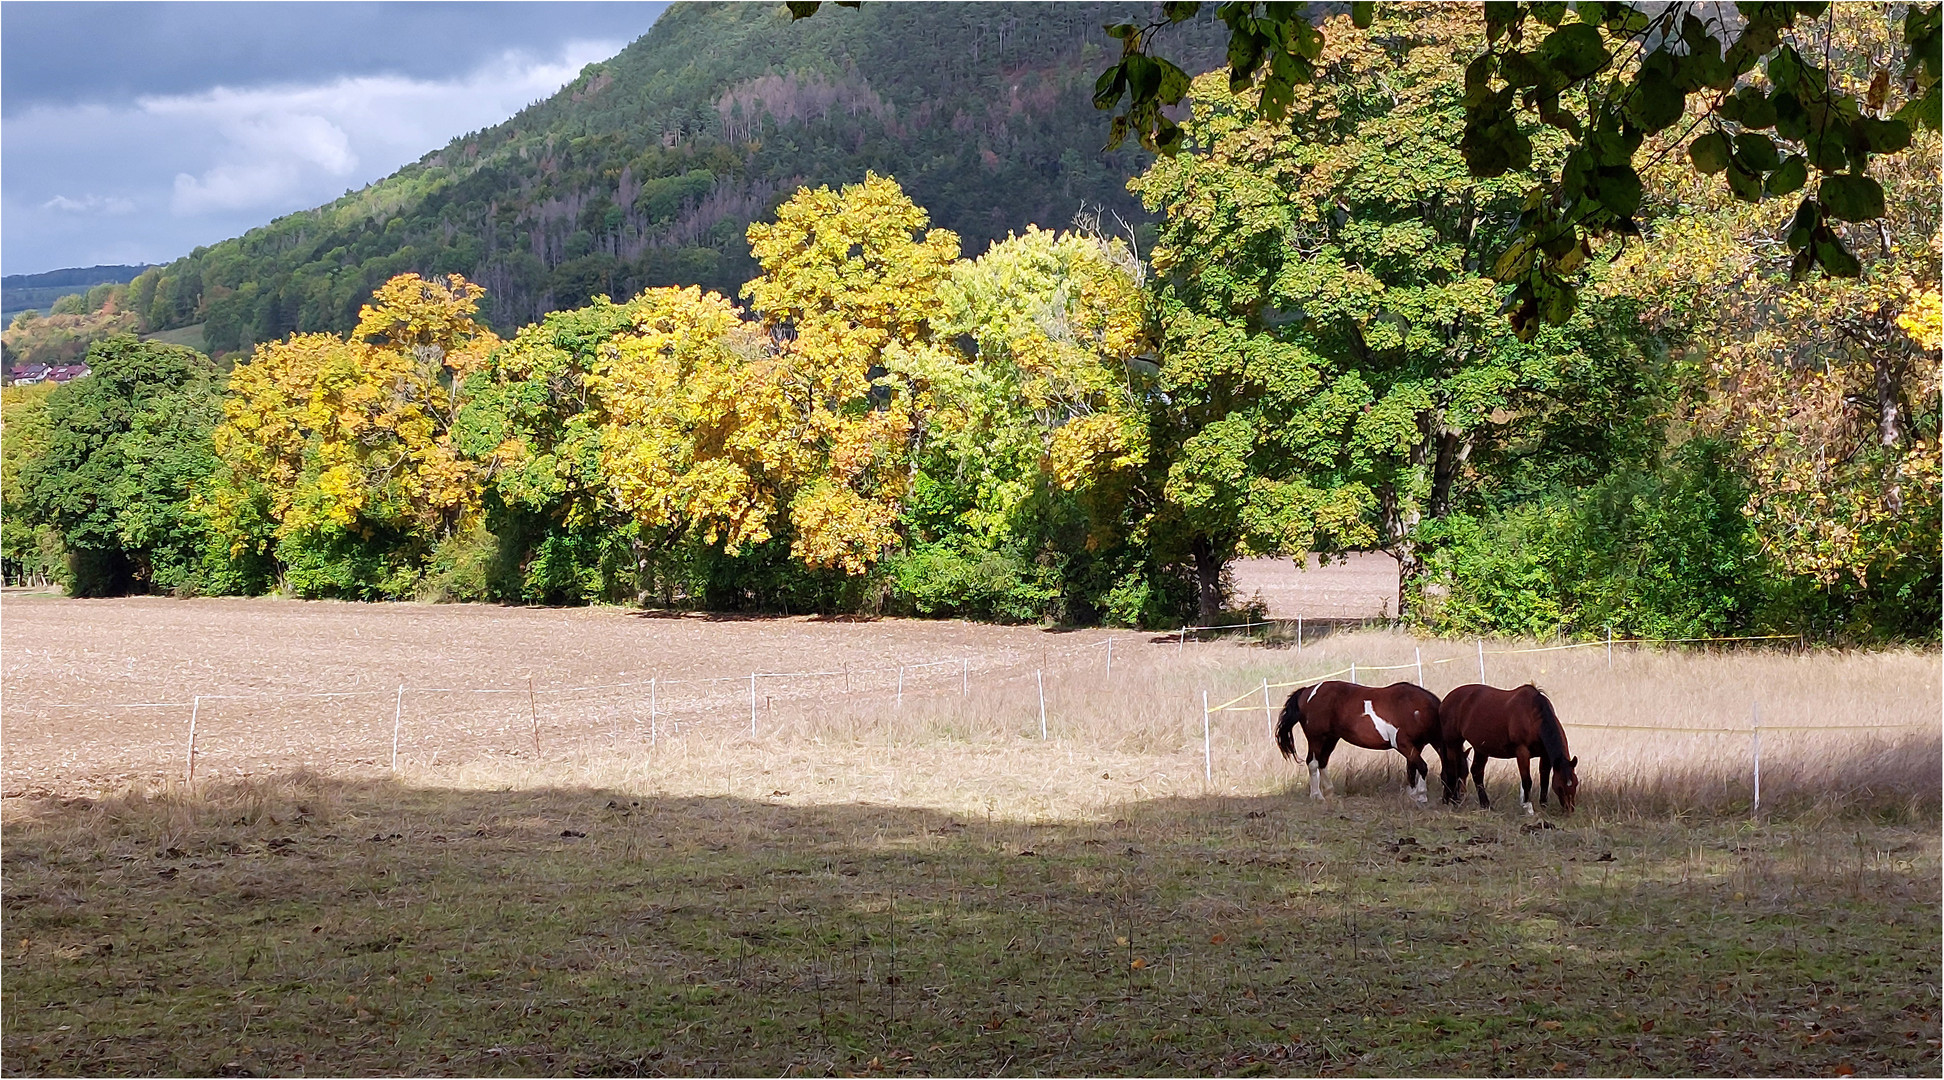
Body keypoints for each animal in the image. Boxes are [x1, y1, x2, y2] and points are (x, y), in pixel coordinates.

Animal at [1275, 679, 1461, 804]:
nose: (1455, 800)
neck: (1416, 708)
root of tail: (1308, 690)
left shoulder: (1417, 746)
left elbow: (1412, 769)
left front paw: (1413, 794)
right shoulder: (1403, 744)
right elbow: (1421, 767)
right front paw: (1421, 796)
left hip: (1330, 738)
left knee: (1322, 762)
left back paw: (1329, 792)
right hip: (1316, 738)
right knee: (1313, 763)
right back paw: (1317, 796)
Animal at [1446, 687, 1578, 815]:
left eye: (1576, 783)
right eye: (1560, 787)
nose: (1569, 809)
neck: (1533, 716)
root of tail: (1448, 698)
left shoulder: (1545, 755)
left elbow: (1544, 780)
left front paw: (1544, 806)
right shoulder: (1522, 752)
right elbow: (1527, 781)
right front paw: (1528, 807)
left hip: (1481, 749)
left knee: (1476, 772)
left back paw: (1485, 805)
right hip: (1453, 744)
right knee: (1453, 770)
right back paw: (1454, 801)